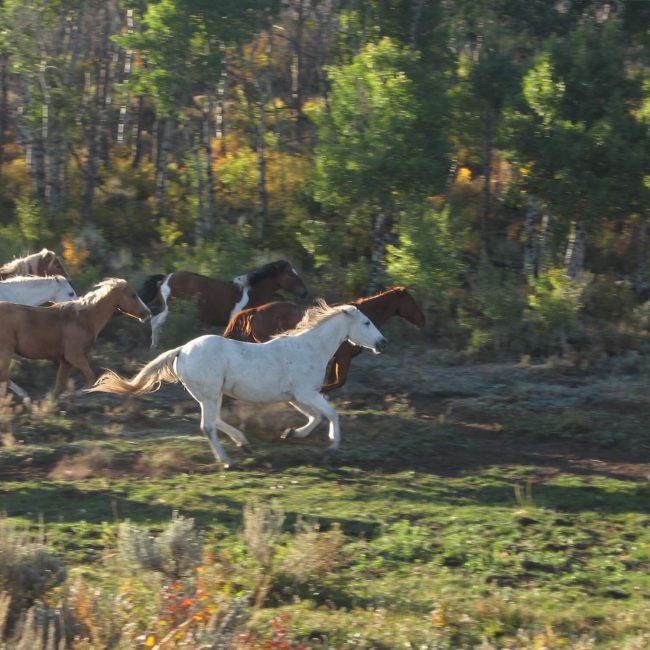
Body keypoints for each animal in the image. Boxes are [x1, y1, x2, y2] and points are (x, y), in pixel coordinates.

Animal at [0, 278, 151, 402]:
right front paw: (74, 394)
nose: (147, 313)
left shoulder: (65, 360)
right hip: (6, 350)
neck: (84, 319)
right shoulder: (74, 356)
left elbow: (59, 386)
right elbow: (90, 378)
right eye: (133, 295)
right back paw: (24, 396)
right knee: (4, 376)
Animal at [88, 302, 388, 468]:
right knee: (208, 426)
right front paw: (333, 446)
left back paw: (244, 444)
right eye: (366, 322)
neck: (309, 348)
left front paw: (291, 433)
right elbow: (331, 415)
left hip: (210, 394)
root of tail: (182, 350)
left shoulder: (298, 396)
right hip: (210, 394)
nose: (383, 343)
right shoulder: (306, 393)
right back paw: (228, 461)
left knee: (215, 421)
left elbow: (316, 417)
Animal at [140, 260, 309, 348]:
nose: (304, 292)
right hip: (171, 310)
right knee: (156, 322)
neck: (251, 293)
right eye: (291, 274)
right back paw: (155, 347)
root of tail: (165, 278)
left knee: (155, 322)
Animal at [223, 286, 425, 392]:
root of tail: (256, 311)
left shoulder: (336, 358)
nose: (423, 320)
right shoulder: (343, 358)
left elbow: (333, 380)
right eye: (412, 302)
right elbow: (336, 382)